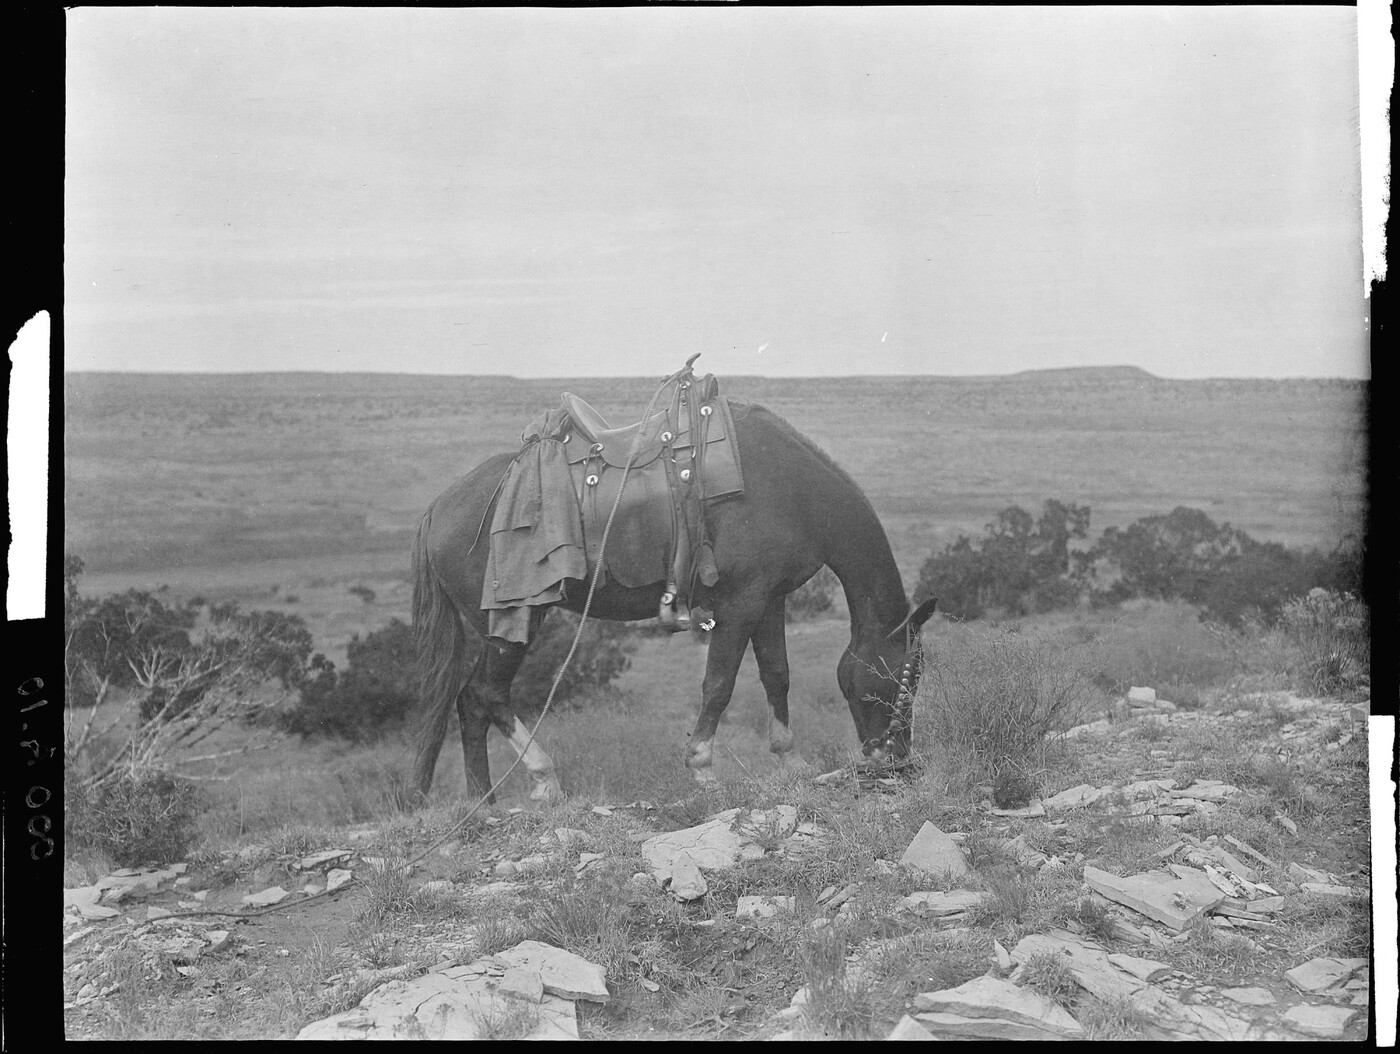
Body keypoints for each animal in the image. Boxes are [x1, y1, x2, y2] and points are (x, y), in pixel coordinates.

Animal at [409, 397, 939, 802]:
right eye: (900, 678)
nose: (896, 760)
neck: (793, 489)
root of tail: (437, 509)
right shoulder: (740, 603)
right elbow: (719, 685)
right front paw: (702, 768)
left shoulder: (769, 600)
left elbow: (777, 676)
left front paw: (791, 761)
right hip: (513, 621)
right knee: (487, 694)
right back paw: (543, 780)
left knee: (469, 703)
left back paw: (485, 803)